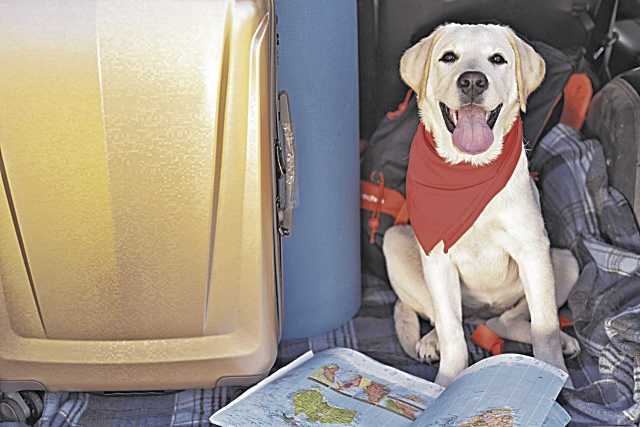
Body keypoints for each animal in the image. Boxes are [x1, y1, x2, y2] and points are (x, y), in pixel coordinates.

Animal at [384, 25, 580, 390]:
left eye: (498, 59)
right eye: (448, 57)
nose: (473, 81)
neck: (470, 169)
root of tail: (481, 315)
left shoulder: (533, 251)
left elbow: (545, 328)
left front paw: (554, 375)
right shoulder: (438, 257)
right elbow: (451, 333)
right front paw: (445, 384)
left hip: (564, 262)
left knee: (507, 321)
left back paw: (561, 341)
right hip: (396, 242)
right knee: (444, 320)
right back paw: (430, 341)